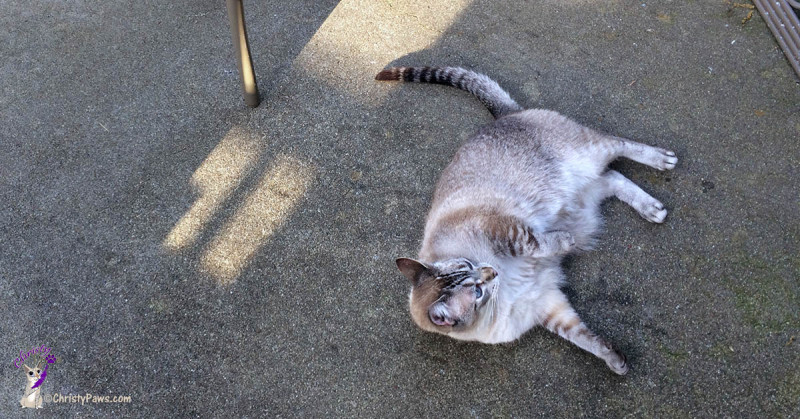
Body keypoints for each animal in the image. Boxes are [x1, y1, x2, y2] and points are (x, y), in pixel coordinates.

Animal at [378, 65, 680, 374]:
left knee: (619, 145)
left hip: (588, 152)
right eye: (477, 292)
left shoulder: (504, 231)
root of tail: (506, 115)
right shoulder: (548, 304)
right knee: (613, 176)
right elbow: (584, 338)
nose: (490, 272)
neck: (502, 296)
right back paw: (651, 208)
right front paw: (614, 359)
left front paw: (565, 240)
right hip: (587, 188)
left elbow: (537, 241)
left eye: (469, 266)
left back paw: (662, 160)